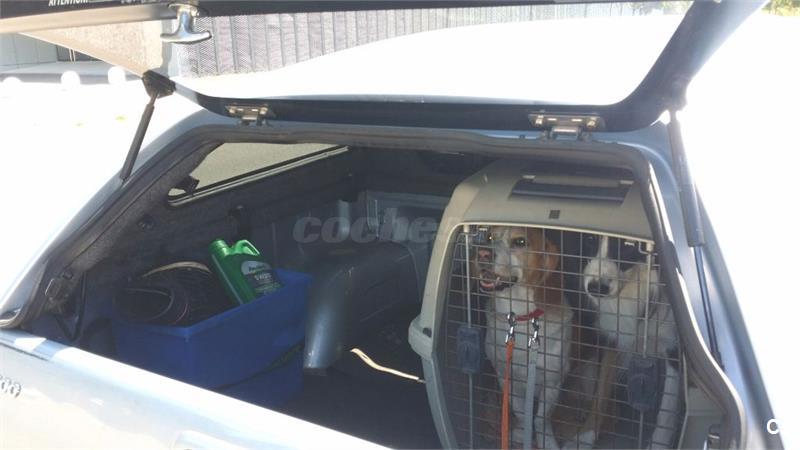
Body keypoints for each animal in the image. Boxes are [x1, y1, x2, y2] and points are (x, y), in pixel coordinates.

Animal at [475, 226, 571, 449]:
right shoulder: (505, 377)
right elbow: (521, 412)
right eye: (489, 237)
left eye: (520, 242)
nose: (482, 253)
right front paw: (520, 433)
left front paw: (546, 441)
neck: (520, 319)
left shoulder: (552, 382)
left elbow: (540, 419)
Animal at [580, 234, 681, 448]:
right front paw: (585, 436)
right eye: (590, 238)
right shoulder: (611, 337)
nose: (596, 288)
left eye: (628, 244)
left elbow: (666, 413)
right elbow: (600, 393)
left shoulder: (674, 350)